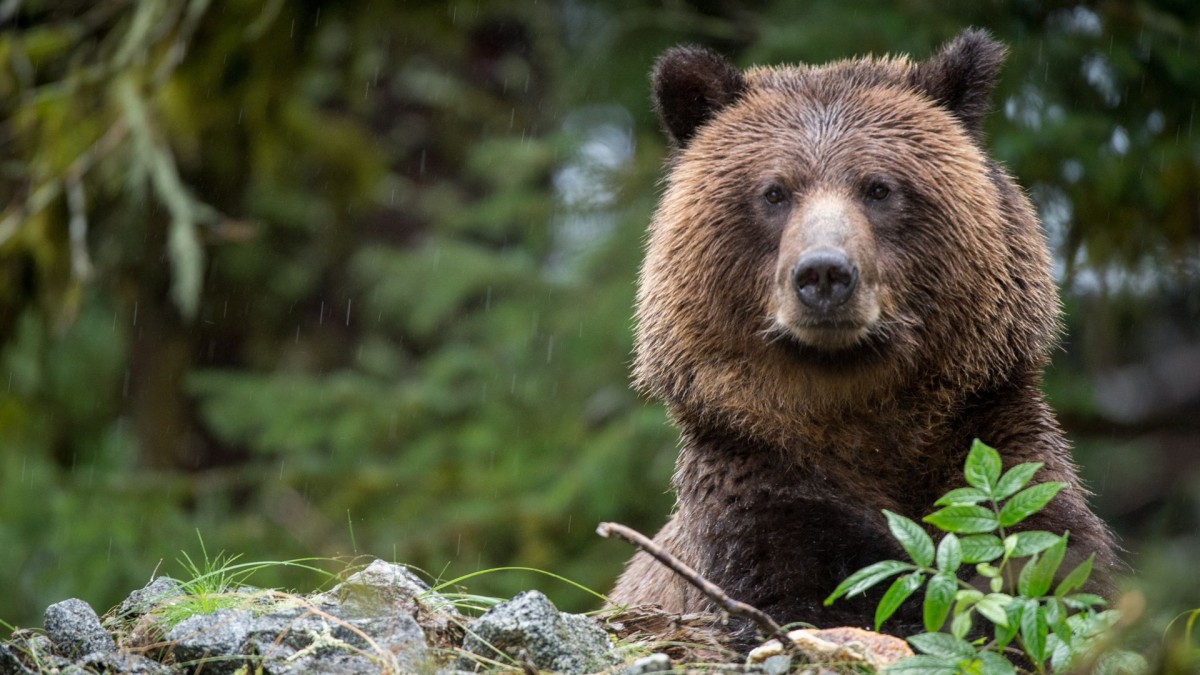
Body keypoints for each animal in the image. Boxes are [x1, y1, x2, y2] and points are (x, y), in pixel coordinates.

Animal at [614, 28, 1118, 634]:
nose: (824, 273)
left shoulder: (997, 447)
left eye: (878, 188)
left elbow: (1053, 559)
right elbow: (807, 590)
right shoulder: (757, 484)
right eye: (774, 192)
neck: (857, 411)